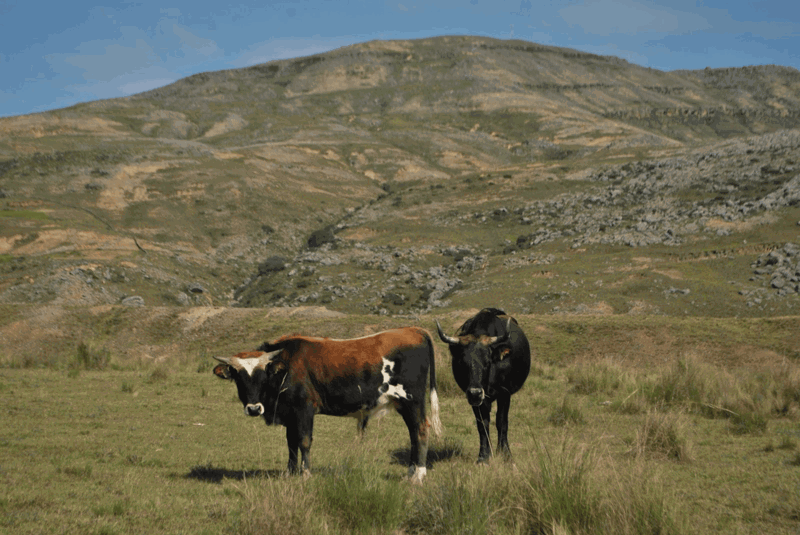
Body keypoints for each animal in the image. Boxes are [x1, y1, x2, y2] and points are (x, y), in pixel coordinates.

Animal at [212, 327, 442, 483]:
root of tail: (413, 330)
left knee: (420, 430)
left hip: (412, 401)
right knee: (413, 433)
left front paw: (305, 473)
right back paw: (411, 471)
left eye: (263, 375)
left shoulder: (304, 409)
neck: (286, 367)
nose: (253, 409)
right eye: (238, 376)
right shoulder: (290, 414)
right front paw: (290, 472)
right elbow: (291, 444)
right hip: (405, 405)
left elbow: (304, 441)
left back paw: (418, 474)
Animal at [435, 308, 530, 463]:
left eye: (487, 361)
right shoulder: (477, 400)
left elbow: (501, 422)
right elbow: (482, 424)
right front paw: (484, 456)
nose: (475, 392)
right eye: (462, 362)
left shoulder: (505, 393)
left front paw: (505, 454)